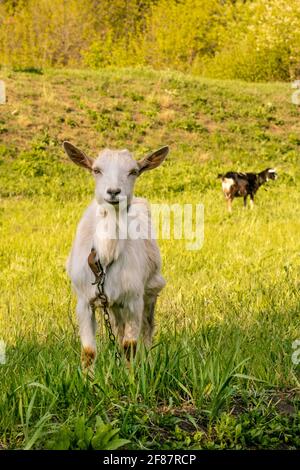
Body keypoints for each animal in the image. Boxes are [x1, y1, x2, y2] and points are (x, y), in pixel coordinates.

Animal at [63, 141, 169, 370]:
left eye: (133, 171)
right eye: (96, 170)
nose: (113, 192)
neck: (106, 256)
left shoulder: (133, 299)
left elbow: (130, 346)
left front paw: (131, 376)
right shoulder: (84, 301)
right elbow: (89, 351)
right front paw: (89, 378)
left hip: (150, 289)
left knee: (147, 330)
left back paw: (148, 363)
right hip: (112, 305)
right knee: (118, 328)